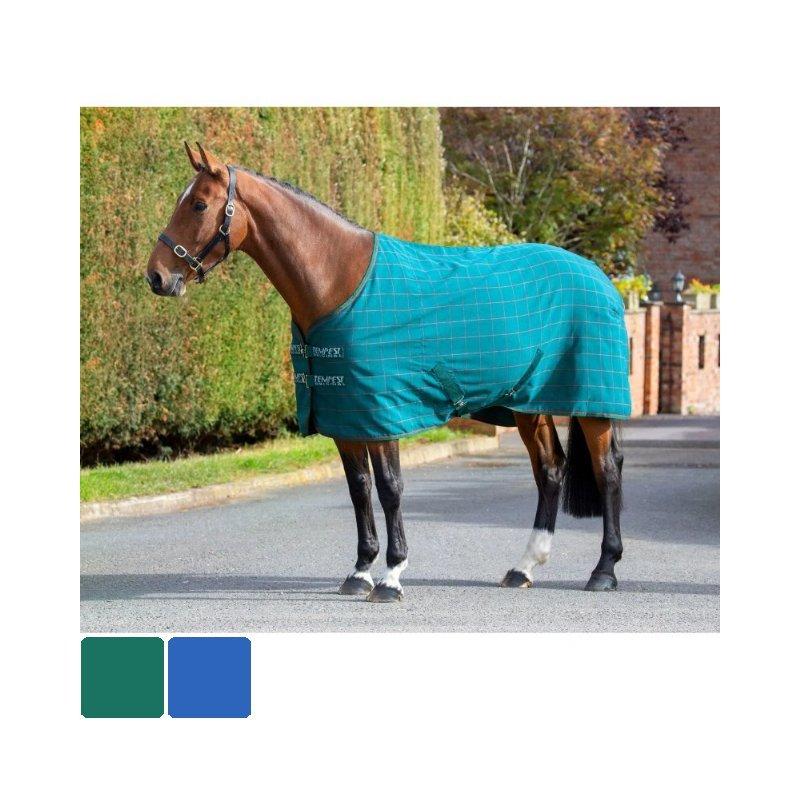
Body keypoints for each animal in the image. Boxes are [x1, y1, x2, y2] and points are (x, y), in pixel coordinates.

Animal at [146, 142, 626, 603]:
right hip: (529, 404)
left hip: (593, 402)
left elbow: (391, 487)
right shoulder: (345, 415)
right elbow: (359, 489)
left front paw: (392, 577)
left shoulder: (382, 414)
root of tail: (598, 276)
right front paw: (360, 572)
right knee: (550, 469)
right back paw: (523, 568)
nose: (157, 277)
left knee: (607, 469)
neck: (339, 281)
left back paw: (603, 571)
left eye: (199, 205)